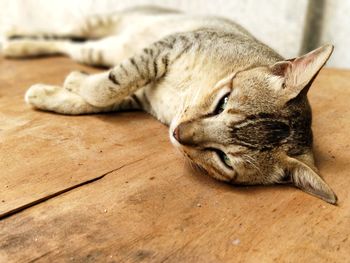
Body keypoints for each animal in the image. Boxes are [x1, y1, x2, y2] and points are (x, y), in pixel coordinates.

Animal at [2, 5, 336, 204]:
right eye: (223, 101)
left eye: (225, 159)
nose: (178, 133)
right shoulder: (169, 46)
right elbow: (113, 83)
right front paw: (75, 82)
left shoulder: (141, 97)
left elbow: (102, 97)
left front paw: (58, 92)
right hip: (100, 24)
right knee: (65, 34)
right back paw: (14, 38)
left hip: (98, 49)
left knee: (72, 47)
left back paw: (24, 50)